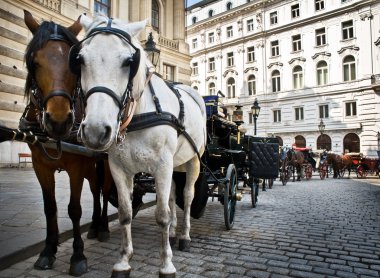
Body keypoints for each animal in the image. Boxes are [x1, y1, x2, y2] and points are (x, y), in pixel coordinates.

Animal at [21, 10, 113, 276]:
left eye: (75, 64)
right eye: (34, 62)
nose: (59, 120)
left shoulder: (76, 167)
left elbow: (74, 209)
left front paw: (78, 255)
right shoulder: (40, 166)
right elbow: (50, 207)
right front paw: (48, 250)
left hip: (102, 163)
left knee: (103, 191)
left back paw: (103, 227)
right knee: (95, 190)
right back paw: (94, 227)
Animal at [72, 15, 206, 278]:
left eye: (129, 61)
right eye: (80, 60)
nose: (95, 130)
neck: (139, 114)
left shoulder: (162, 165)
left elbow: (162, 215)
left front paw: (166, 265)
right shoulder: (119, 168)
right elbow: (125, 214)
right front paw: (124, 261)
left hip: (192, 161)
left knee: (187, 195)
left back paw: (184, 236)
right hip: (174, 165)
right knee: (173, 195)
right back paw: (173, 234)